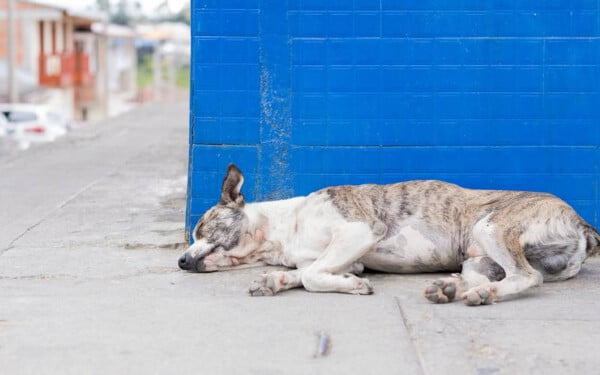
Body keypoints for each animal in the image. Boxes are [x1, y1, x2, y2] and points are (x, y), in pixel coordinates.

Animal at [179, 164, 600, 306]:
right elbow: (307, 272)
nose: (181, 261)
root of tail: (584, 225)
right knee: (501, 277)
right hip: (479, 261)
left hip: (492, 226)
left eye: (200, 230)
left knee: (525, 277)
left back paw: (480, 295)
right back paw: (452, 289)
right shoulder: (348, 257)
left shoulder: (359, 229)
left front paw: (350, 287)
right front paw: (275, 280)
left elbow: (313, 277)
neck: (285, 229)